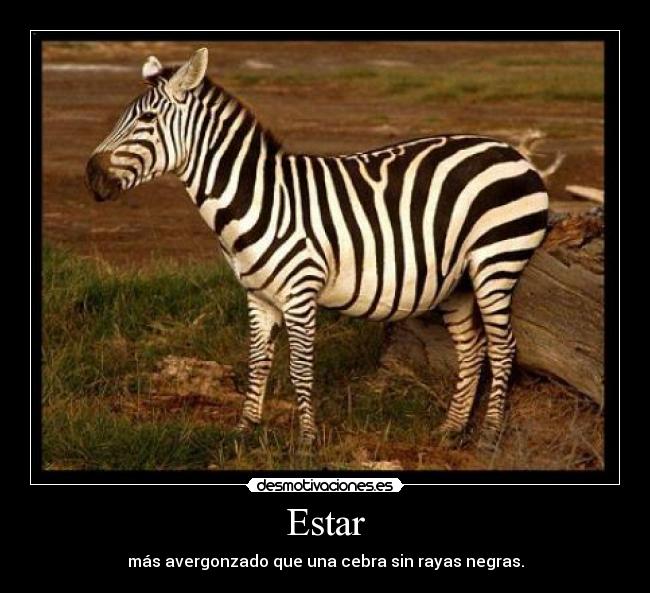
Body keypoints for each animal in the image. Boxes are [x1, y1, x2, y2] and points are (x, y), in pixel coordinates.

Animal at [86, 48, 549, 449]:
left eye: (146, 118)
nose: (90, 175)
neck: (257, 199)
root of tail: (511, 152)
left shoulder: (300, 291)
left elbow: (300, 368)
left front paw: (307, 441)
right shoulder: (258, 296)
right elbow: (258, 362)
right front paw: (244, 432)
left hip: (496, 261)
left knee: (503, 348)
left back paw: (488, 435)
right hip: (458, 281)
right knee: (472, 349)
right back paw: (451, 430)